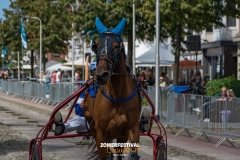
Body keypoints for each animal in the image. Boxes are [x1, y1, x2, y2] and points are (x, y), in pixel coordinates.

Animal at [88, 16, 141, 159]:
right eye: (96, 45)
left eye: (116, 46)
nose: (101, 74)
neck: (117, 96)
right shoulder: (101, 133)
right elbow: (104, 154)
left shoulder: (132, 129)